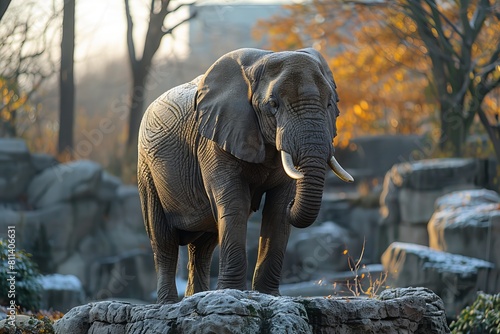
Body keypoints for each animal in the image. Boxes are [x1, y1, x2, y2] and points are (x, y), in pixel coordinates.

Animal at [137, 47, 354, 306]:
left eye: (331, 103)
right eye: (273, 104)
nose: (294, 202)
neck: (262, 61)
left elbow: (277, 210)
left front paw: (268, 295)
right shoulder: (214, 140)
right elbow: (234, 203)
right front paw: (232, 292)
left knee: (204, 244)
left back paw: (197, 296)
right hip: (146, 169)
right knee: (163, 239)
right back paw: (169, 303)